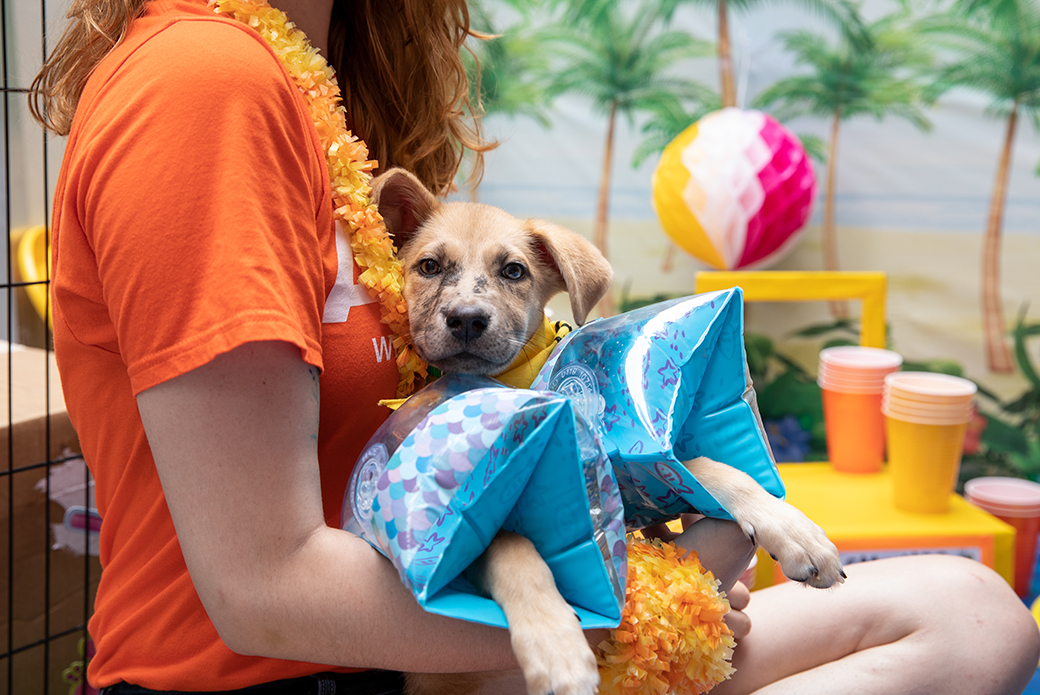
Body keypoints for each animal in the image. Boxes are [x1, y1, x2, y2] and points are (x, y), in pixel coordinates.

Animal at [374, 168, 844, 695]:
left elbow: (703, 466)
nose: (468, 319)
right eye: (429, 266)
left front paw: (790, 527)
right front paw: (555, 643)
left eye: (514, 271)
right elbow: (508, 545)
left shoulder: (626, 484)